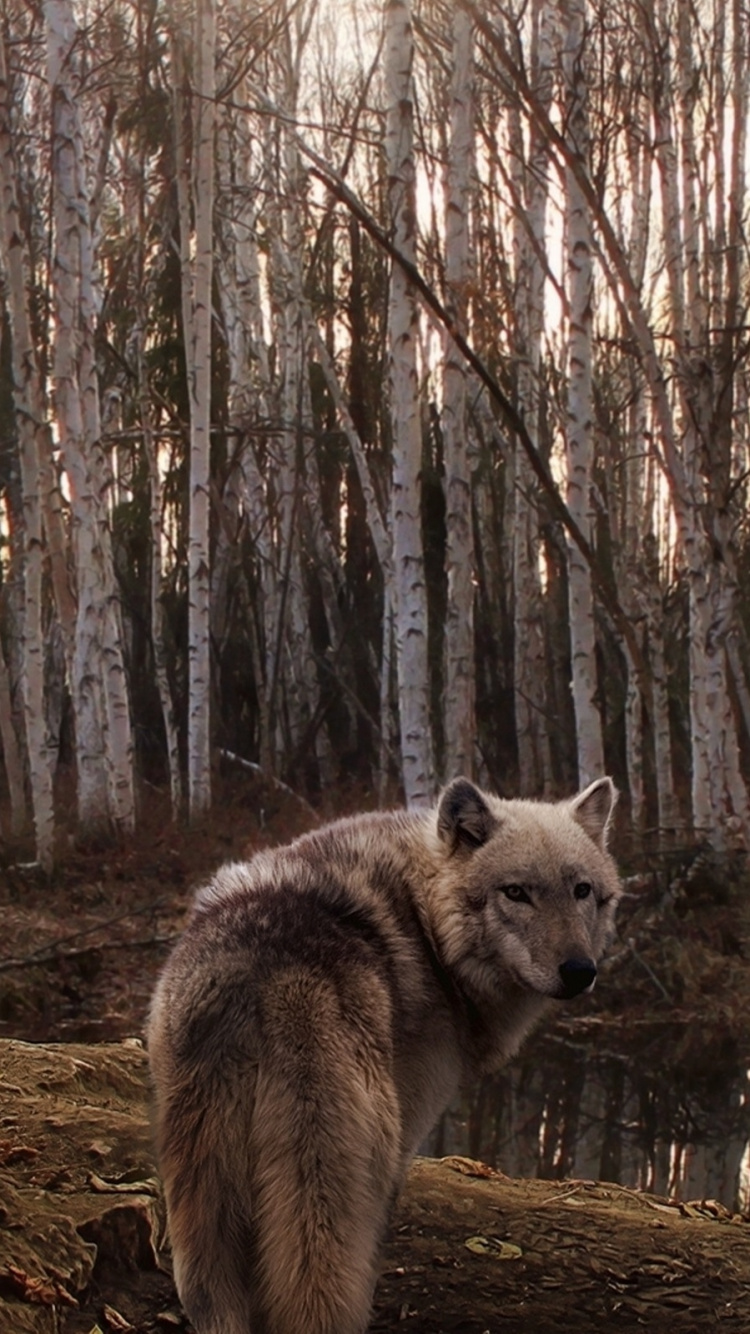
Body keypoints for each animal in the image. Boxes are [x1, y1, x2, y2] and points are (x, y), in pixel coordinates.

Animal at [146, 779, 619, 1328]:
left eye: (581, 890)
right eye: (516, 892)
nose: (579, 971)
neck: (427, 927)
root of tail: (269, 977)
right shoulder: (406, 1135)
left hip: (202, 1202)